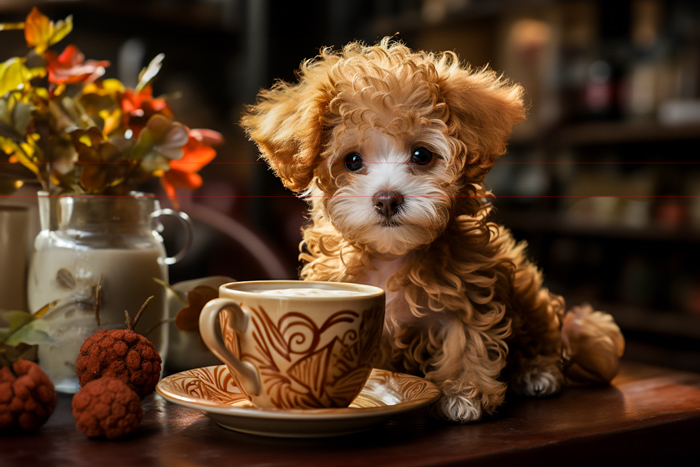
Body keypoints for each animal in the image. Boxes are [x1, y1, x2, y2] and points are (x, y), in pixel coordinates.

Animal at [241, 38, 624, 422]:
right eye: (352, 161)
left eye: (422, 155)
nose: (387, 199)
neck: (391, 255)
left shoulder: (467, 292)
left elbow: (465, 338)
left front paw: (464, 395)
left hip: (528, 296)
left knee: (544, 335)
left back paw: (537, 372)